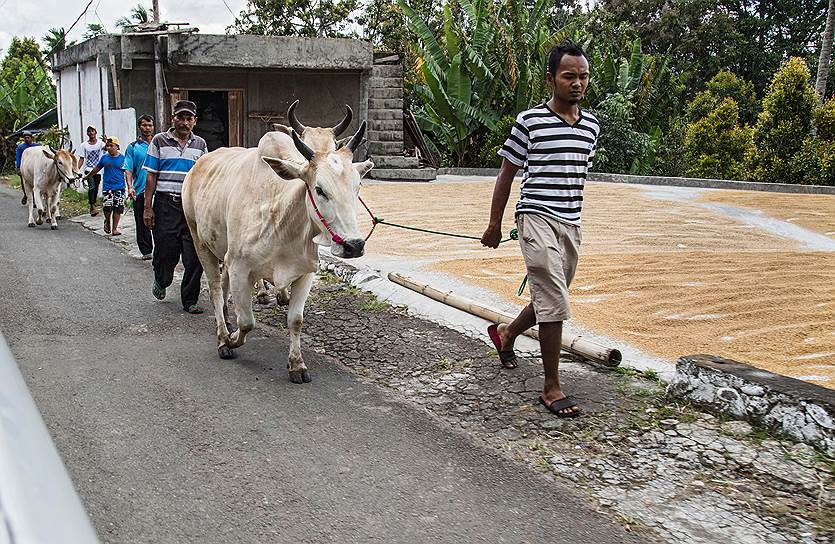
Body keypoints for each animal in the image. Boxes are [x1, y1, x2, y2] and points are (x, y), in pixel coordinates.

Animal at [186, 110, 376, 382]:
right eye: (319, 189)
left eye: (357, 186)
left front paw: (297, 364)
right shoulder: (240, 267)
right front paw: (231, 341)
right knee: (214, 288)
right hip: (199, 240)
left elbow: (295, 320)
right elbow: (247, 322)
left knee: (222, 286)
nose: (354, 246)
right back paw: (223, 336)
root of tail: (199, 165)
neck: (283, 220)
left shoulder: (305, 273)